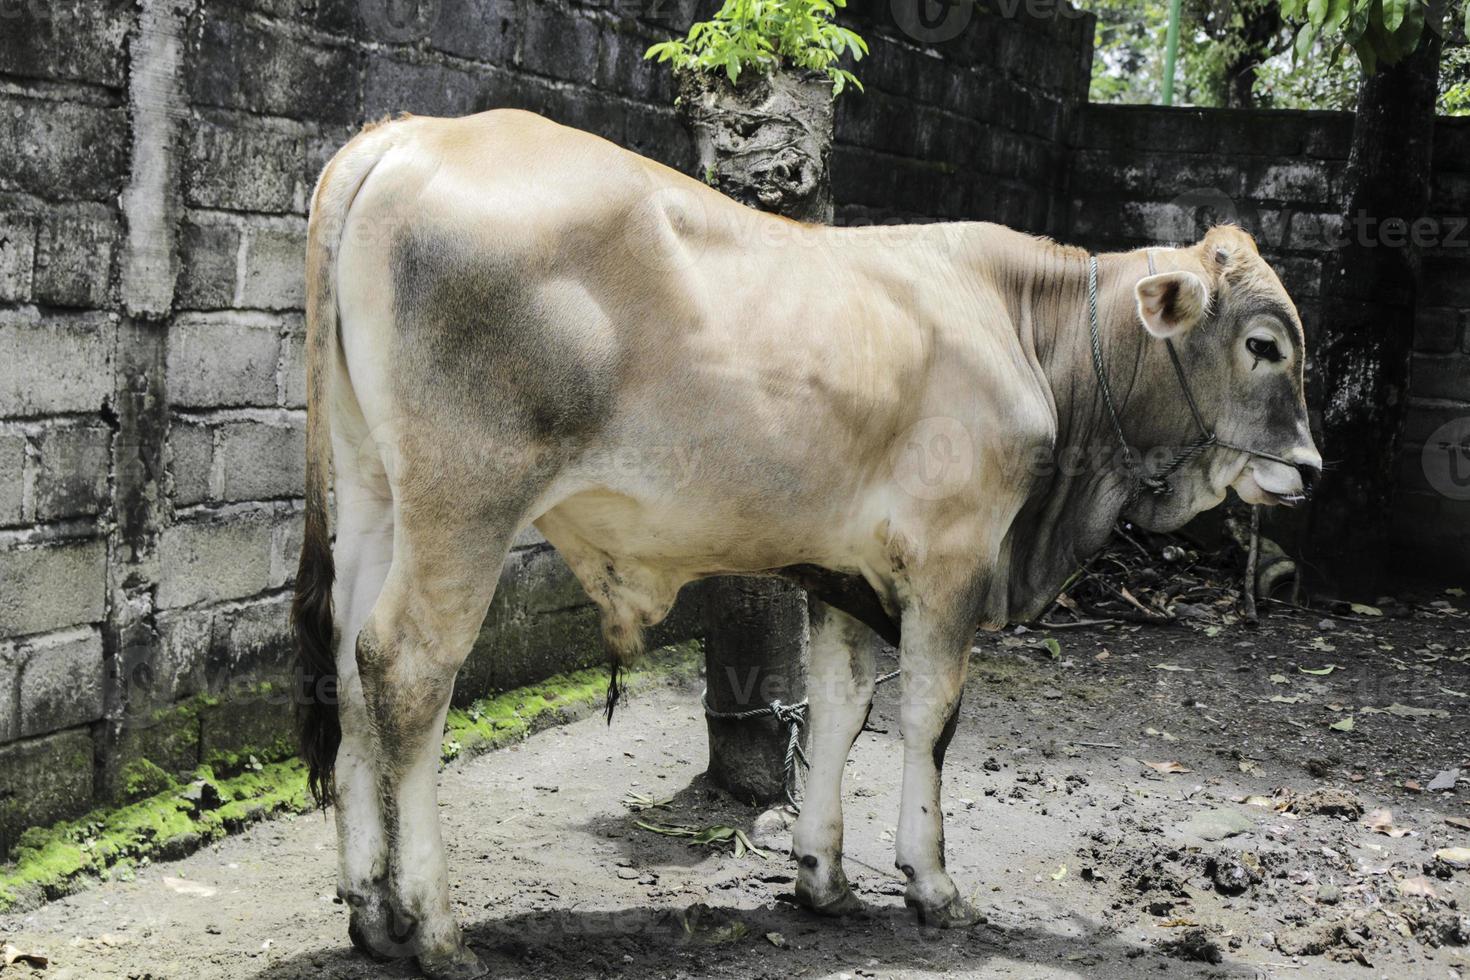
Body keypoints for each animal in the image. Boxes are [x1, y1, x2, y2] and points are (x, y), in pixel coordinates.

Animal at [295, 110, 1323, 975]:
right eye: (1264, 344)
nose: (1311, 467)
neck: (1028, 331)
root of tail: (408, 134)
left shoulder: (846, 570)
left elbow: (842, 708)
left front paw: (823, 878)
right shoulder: (951, 560)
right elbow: (931, 716)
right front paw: (932, 883)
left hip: (375, 493)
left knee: (348, 664)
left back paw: (370, 911)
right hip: (465, 501)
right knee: (409, 670)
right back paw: (435, 927)